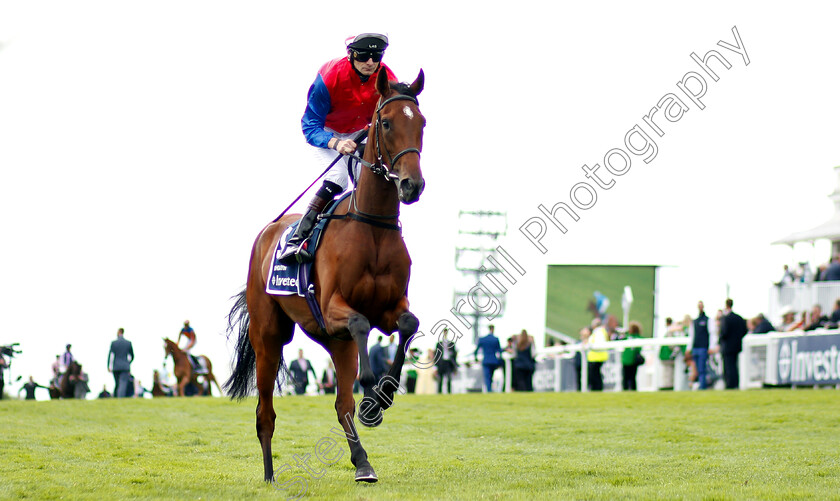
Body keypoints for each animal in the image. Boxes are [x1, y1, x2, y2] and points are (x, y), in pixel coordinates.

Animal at [226, 68, 426, 482]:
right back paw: (269, 476)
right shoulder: (335, 307)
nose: (411, 185)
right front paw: (374, 396)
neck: (371, 227)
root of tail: (266, 234)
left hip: (334, 341)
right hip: (270, 337)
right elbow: (362, 322)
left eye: (422, 123)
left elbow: (408, 323)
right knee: (265, 412)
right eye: (385, 122)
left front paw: (382, 396)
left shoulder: (388, 307)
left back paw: (363, 463)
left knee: (342, 404)